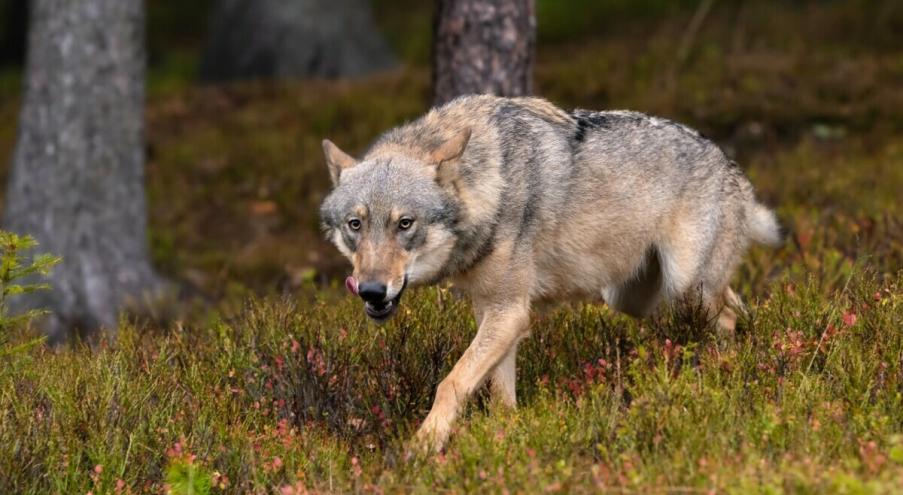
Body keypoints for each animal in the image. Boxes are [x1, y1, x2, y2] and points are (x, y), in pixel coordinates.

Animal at [320, 94, 784, 454]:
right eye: (355, 225)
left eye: (405, 223)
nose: (371, 291)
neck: (489, 184)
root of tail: (731, 166)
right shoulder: (496, 312)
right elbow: (497, 394)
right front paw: (505, 437)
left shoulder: (509, 313)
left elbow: (449, 383)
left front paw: (421, 448)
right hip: (633, 298)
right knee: (736, 302)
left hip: (685, 286)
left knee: (726, 315)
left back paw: (725, 370)